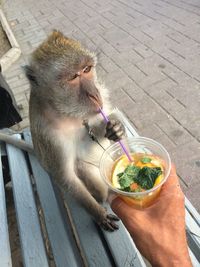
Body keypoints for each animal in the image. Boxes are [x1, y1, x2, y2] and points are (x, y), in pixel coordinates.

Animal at [0, 30, 125, 232]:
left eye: (87, 69)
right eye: (73, 77)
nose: (94, 94)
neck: (65, 111)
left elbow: (103, 117)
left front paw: (116, 128)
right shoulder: (49, 136)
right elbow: (66, 178)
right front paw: (99, 214)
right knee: (84, 171)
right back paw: (103, 196)